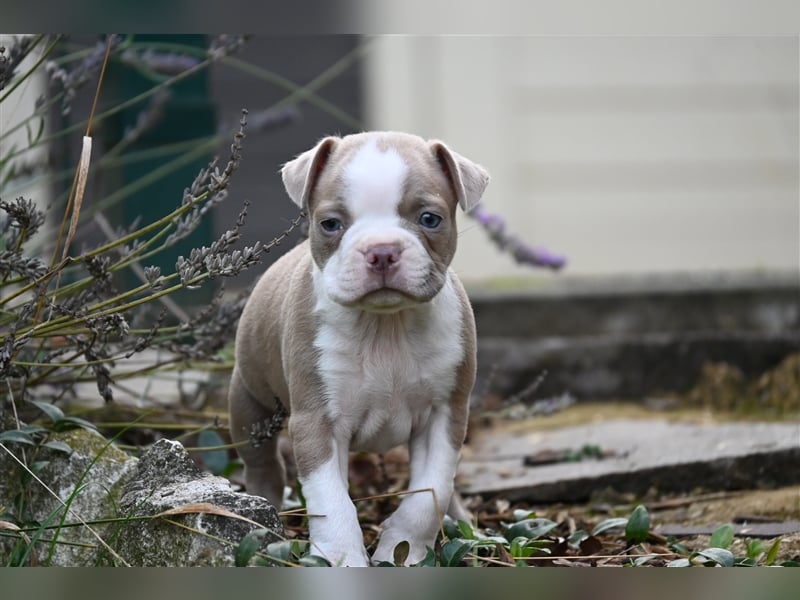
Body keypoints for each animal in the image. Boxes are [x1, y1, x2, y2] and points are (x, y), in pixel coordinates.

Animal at [230, 132, 488, 568]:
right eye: (330, 224)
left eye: (429, 219)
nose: (381, 251)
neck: (386, 325)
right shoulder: (317, 422)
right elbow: (331, 501)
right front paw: (342, 559)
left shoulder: (445, 416)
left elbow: (429, 493)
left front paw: (402, 550)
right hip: (250, 403)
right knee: (263, 462)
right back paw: (263, 514)